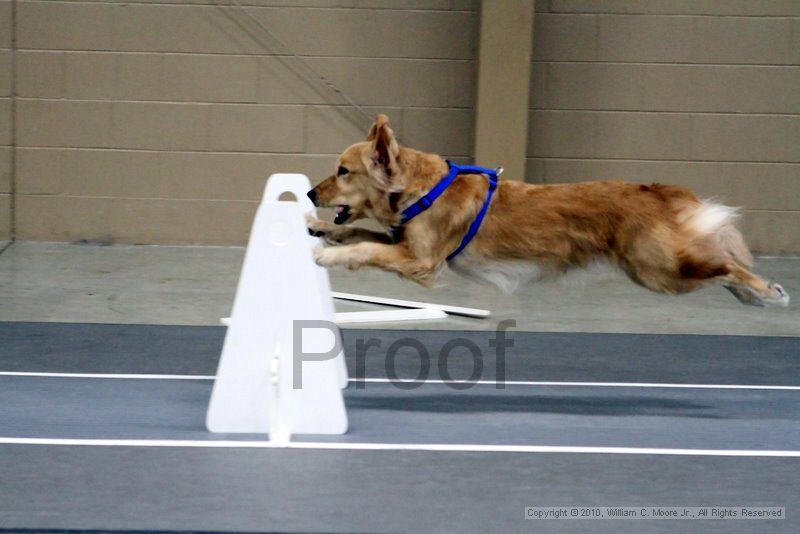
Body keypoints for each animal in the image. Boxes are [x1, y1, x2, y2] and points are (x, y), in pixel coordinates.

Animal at [306, 113, 788, 308]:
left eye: (343, 171)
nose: (310, 193)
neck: (420, 188)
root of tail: (653, 190)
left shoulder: (421, 260)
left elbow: (365, 249)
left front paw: (329, 255)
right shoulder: (402, 242)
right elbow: (363, 236)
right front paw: (322, 231)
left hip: (659, 270)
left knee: (725, 265)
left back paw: (766, 290)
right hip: (657, 271)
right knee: (719, 268)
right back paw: (753, 296)